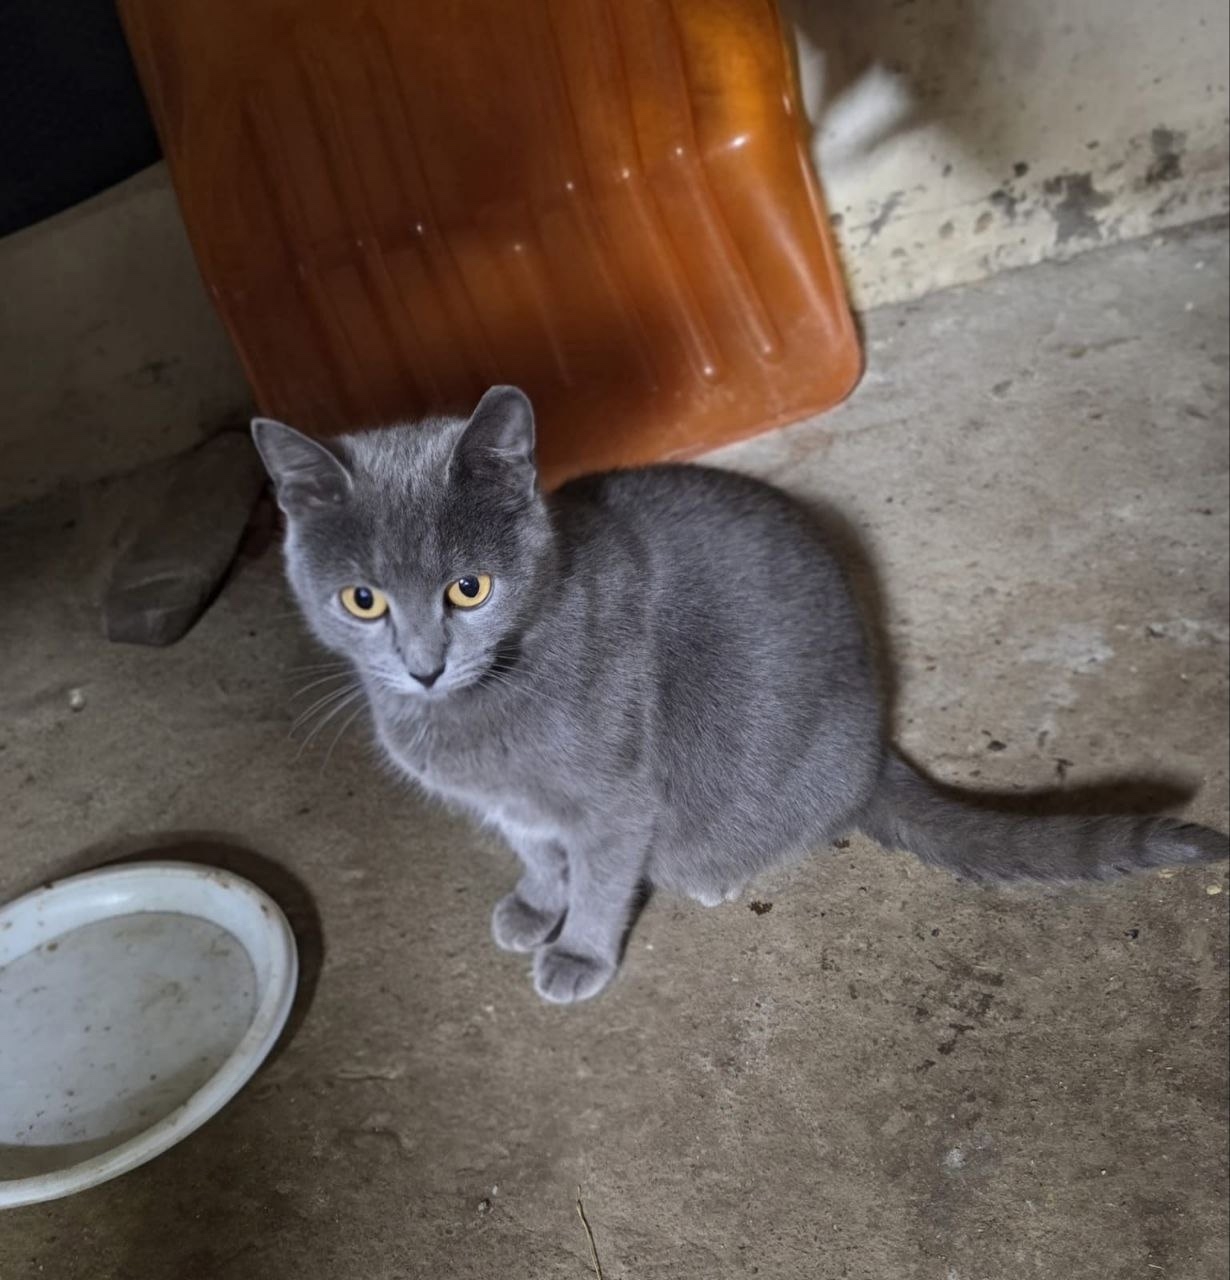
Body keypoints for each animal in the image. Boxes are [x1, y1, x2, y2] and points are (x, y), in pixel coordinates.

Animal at [252, 386, 1229, 1004]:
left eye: (470, 589)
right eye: (363, 600)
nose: (422, 665)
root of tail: (876, 742)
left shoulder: (616, 801)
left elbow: (599, 877)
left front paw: (578, 951)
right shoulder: (510, 808)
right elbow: (536, 852)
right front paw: (534, 904)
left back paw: (714, 875)